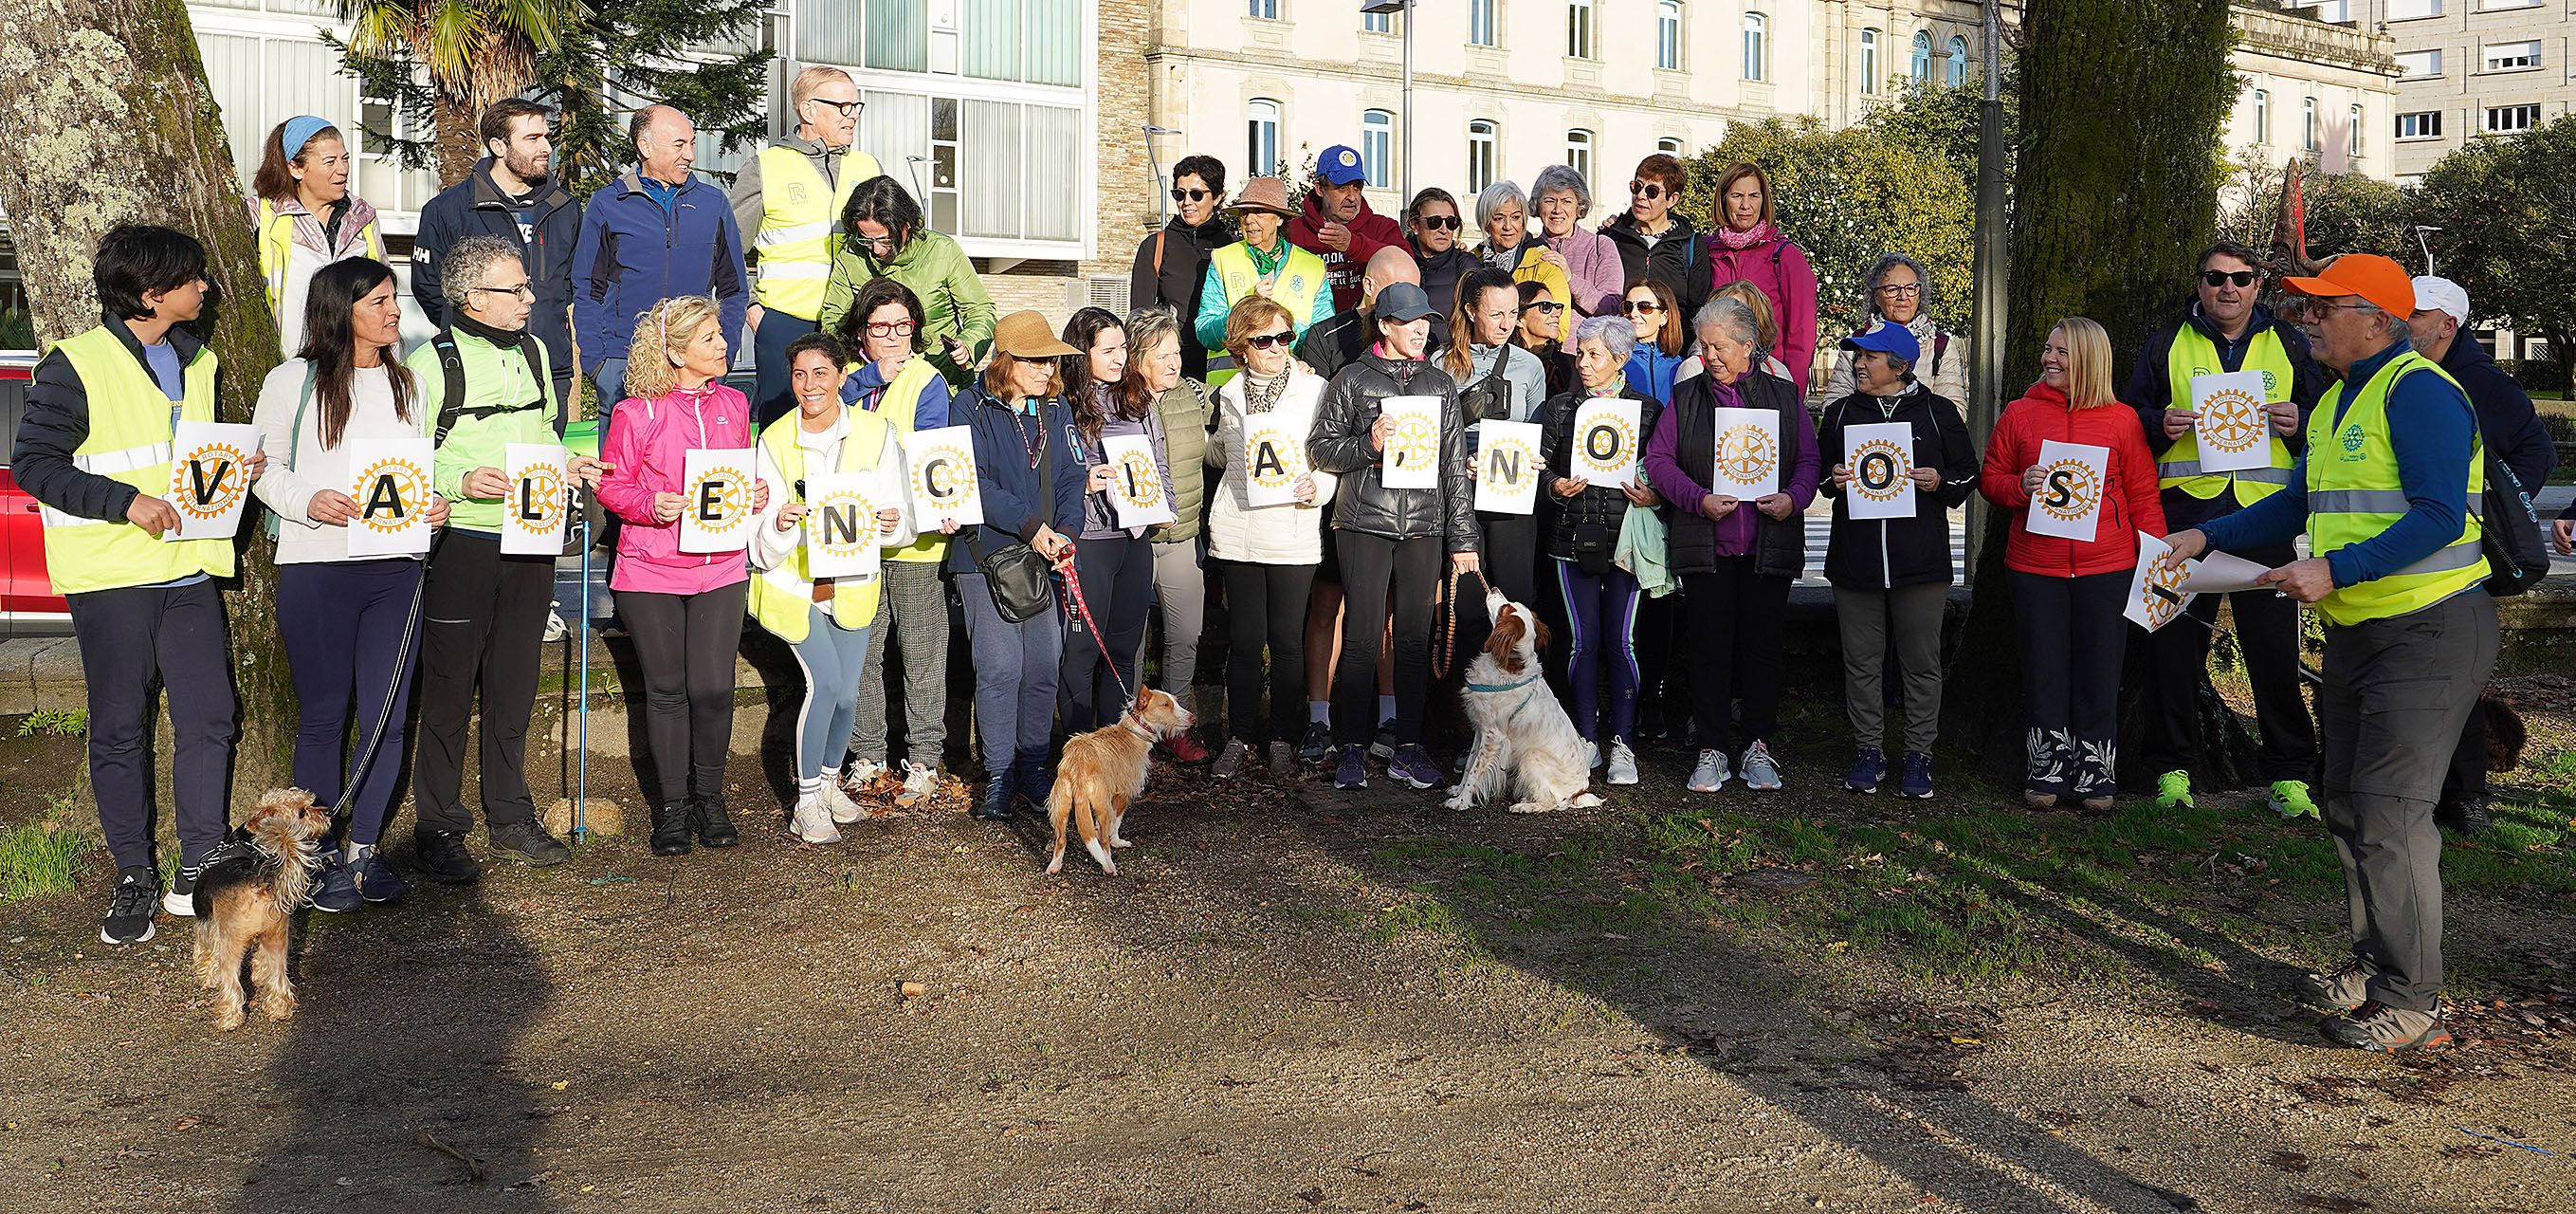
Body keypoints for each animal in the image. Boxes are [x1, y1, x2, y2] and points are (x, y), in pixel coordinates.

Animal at [1046, 685, 1195, 875]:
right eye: (1166, 705)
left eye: (1175, 702)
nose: (1193, 718)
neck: (1135, 731)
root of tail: (1077, 763)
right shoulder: (1123, 793)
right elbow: (1116, 823)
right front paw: (1117, 842)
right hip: (1101, 805)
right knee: (1102, 843)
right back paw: (1109, 866)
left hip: (1061, 806)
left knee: (1061, 840)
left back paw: (1055, 866)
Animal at [1442, 593, 1597, 819]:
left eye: (1504, 609)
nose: (1494, 589)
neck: (1506, 666)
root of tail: (1580, 791)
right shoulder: (1481, 729)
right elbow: (1470, 762)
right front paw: (1458, 791)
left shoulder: (1493, 736)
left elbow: (1475, 771)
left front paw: (1461, 802)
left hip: (1530, 756)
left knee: (1551, 802)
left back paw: (1523, 806)